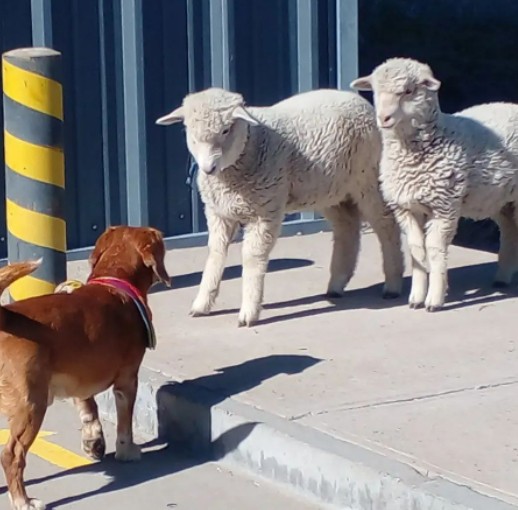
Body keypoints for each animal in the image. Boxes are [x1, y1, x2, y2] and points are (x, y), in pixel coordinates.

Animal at [0, 226, 172, 510]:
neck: (114, 280)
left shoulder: (78, 378)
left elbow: (88, 407)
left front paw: (94, 441)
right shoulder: (127, 380)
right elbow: (125, 424)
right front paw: (127, 451)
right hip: (31, 407)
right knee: (12, 455)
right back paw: (22, 500)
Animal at [156, 87, 404, 326]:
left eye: (226, 130)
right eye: (189, 131)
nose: (208, 168)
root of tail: (359, 100)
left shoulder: (265, 211)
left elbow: (252, 257)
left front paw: (248, 312)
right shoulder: (218, 213)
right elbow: (215, 253)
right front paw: (201, 304)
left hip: (368, 178)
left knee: (386, 224)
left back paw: (392, 284)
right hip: (328, 189)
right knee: (347, 227)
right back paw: (337, 284)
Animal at [352, 56, 518, 310]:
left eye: (408, 91)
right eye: (375, 90)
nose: (383, 119)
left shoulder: (444, 206)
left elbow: (434, 249)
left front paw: (434, 300)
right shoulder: (406, 207)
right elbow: (416, 250)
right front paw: (416, 298)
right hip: (501, 200)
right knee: (510, 230)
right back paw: (502, 278)